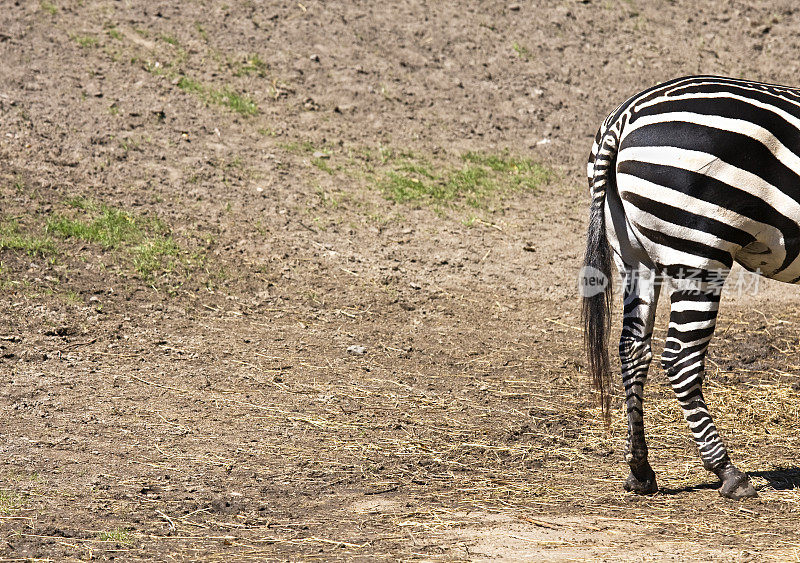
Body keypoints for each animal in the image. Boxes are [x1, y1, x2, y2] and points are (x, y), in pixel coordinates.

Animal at [580, 74, 800, 498]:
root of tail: (625, 116)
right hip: (699, 250)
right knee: (680, 358)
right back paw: (728, 472)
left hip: (633, 254)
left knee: (633, 348)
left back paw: (641, 469)